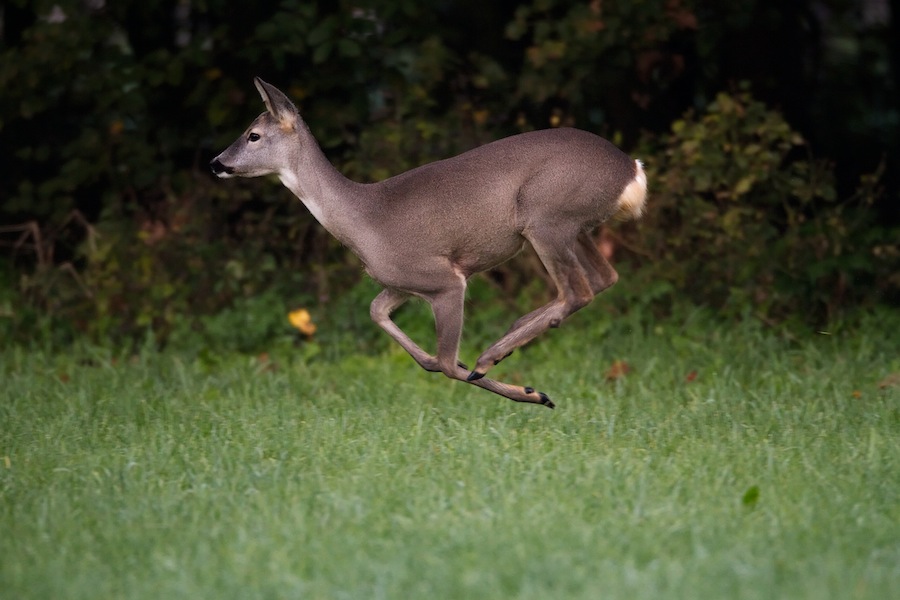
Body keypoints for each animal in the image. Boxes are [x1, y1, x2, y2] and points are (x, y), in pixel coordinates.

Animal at [211, 78, 648, 408]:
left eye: (253, 135)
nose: (216, 162)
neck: (363, 218)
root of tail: (632, 170)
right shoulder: (401, 282)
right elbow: (380, 316)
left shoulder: (444, 280)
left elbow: (450, 364)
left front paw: (529, 391)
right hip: (575, 227)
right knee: (604, 277)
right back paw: (509, 339)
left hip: (547, 216)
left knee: (577, 289)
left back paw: (492, 357)